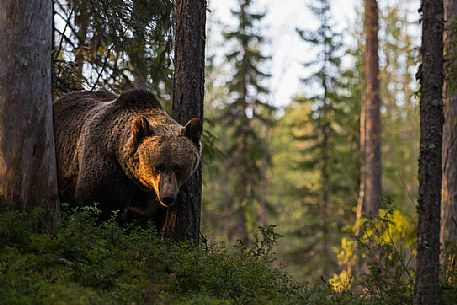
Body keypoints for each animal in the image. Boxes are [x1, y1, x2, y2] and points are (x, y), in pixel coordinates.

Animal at [53, 89, 201, 224]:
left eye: (178, 168)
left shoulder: (147, 197)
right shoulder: (106, 163)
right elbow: (99, 203)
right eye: (157, 167)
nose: (167, 197)